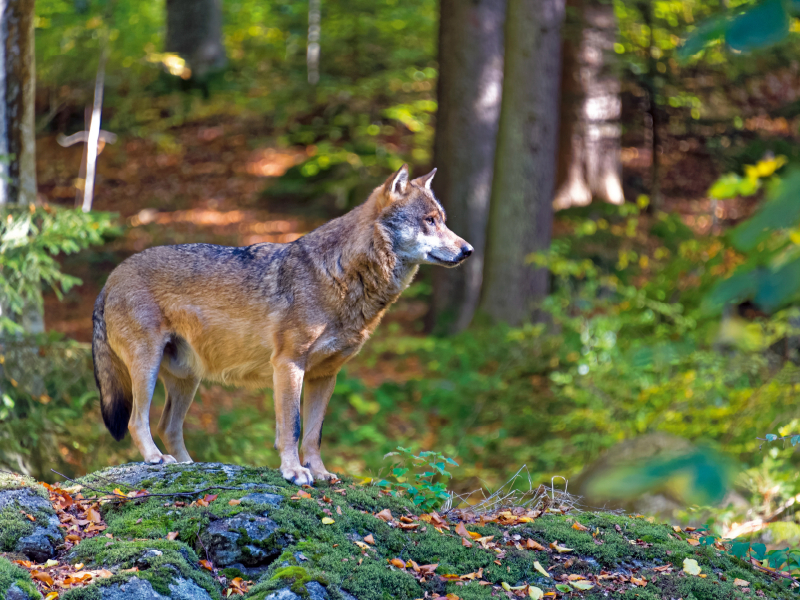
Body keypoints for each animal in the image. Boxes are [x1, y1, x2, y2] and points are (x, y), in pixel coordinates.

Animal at [92, 166, 468, 486]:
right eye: (429, 221)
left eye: (443, 221)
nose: (468, 249)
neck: (341, 275)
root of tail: (111, 277)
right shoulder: (288, 365)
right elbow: (293, 428)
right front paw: (294, 472)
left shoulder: (325, 375)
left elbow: (315, 434)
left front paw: (320, 472)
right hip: (148, 367)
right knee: (137, 421)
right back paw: (155, 459)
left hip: (187, 379)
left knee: (168, 425)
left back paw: (189, 466)